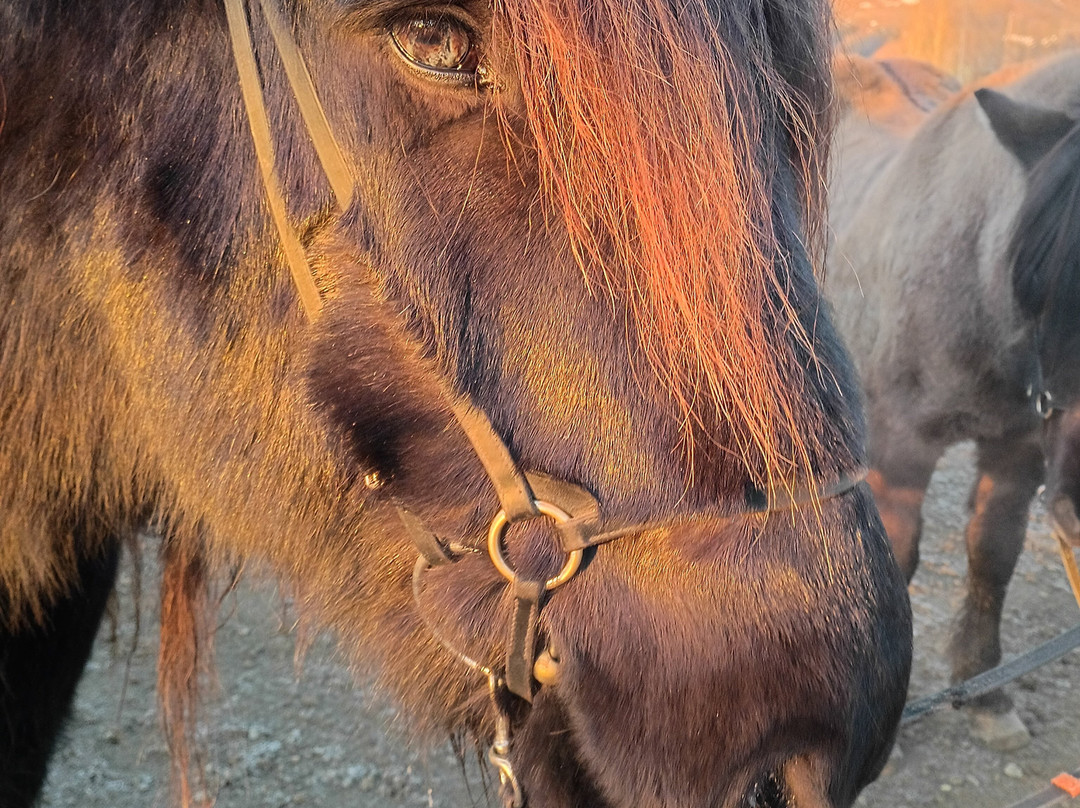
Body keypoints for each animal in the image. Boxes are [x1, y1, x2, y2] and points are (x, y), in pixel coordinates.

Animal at [826, 50, 1080, 752]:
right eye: (1044, 283)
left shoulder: (1018, 447)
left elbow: (993, 552)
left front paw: (985, 692)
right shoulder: (902, 445)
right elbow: (902, 552)